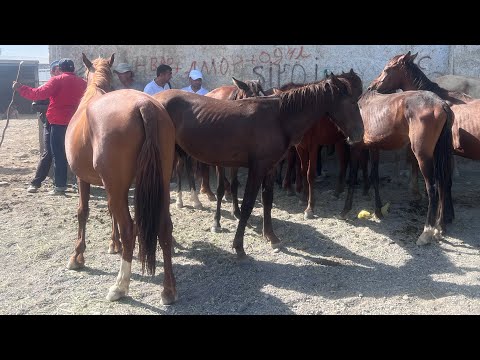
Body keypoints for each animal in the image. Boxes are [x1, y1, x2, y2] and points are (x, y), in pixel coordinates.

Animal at [63, 54, 176, 304]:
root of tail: (144, 105)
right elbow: (109, 211)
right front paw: (113, 244)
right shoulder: (113, 187)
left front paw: (77, 256)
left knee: (129, 229)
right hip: (160, 185)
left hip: (117, 187)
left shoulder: (84, 179)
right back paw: (168, 290)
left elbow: (83, 212)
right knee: (164, 228)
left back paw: (120, 286)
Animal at [154, 74, 364, 258]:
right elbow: (248, 204)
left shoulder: (269, 168)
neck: (278, 117)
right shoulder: (257, 169)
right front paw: (238, 246)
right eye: (353, 102)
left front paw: (271, 237)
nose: (360, 135)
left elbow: (267, 200)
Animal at [338, 86, 454, 245]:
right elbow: (374, 177)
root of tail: (441, 103)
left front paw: (345, 210)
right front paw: (378, 211)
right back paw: (439, 228)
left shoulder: (356, 148)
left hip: (423, 156)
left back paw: (427, 232)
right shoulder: (374, 147)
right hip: (438, 153)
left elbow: (352, 177)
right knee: (442, 184)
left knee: (433, 188)